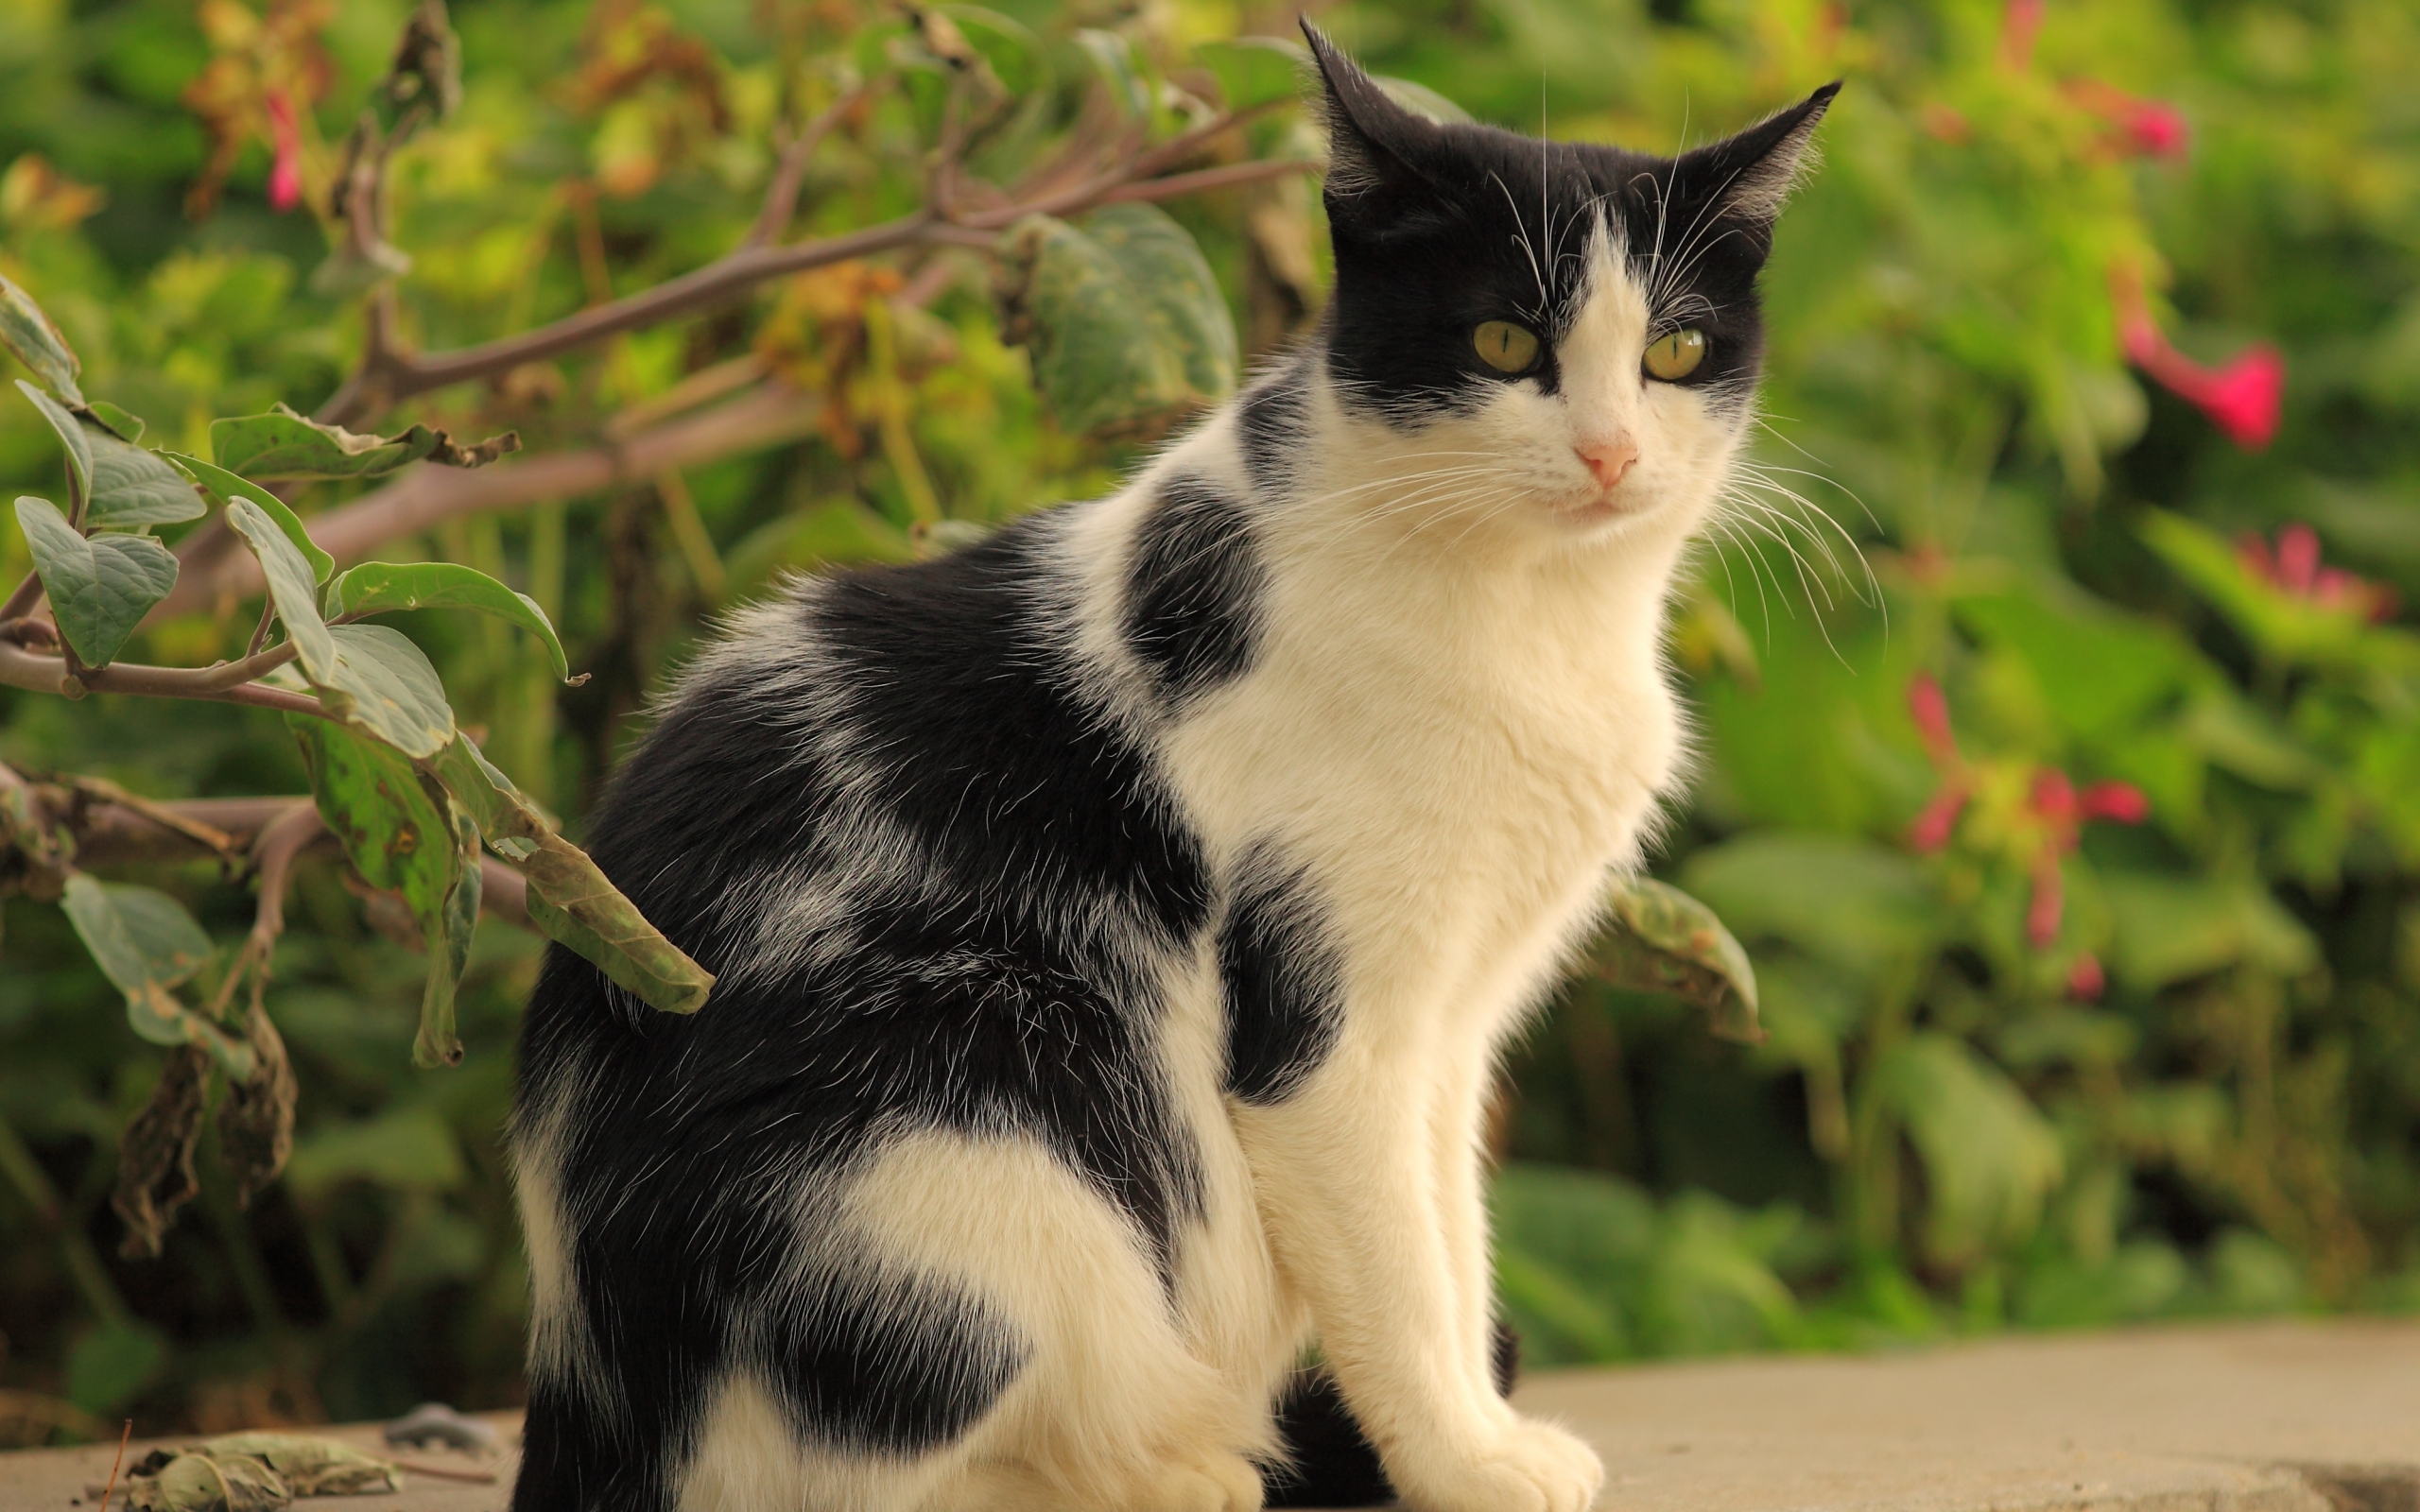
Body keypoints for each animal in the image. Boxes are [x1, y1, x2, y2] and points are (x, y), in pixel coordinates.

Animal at [510, 23, 1829, 1509]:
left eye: (1674, 349)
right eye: (1504, 340)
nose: (1609, 451)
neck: (1534, 619)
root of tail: (582, 1397)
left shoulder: (1453, 1023)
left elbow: (1450, 1228)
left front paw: (1480, 1433)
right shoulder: (1328, 1031)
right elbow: (1396, 1266)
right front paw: (1465, 1460)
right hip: (969, 1114)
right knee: (846, 1473)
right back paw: (1170, 1470)